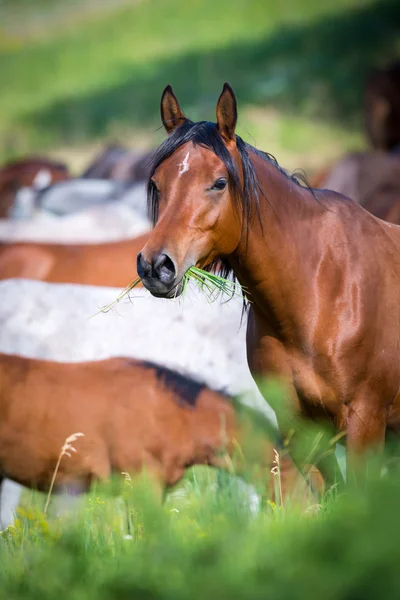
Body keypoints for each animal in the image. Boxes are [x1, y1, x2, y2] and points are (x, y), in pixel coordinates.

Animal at [137, 83, 400, 488]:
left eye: (219, 183)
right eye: (157, 183)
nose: (155, 266)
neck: (323, 292)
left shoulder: (366, 424)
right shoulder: (302, 432)